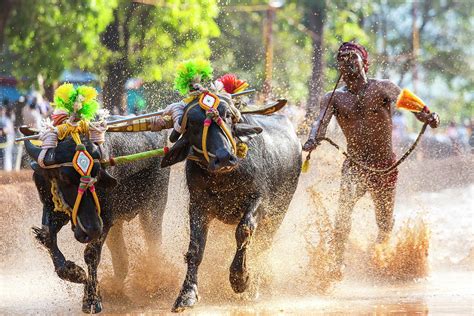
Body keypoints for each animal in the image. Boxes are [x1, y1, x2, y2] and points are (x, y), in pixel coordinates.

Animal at [24, 131, 170, 314]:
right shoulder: (51, 207)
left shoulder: (104, 219)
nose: (91, 229)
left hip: (153, 207)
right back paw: (116, 289)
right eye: (64, 177)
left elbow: (91, 254)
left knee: (153, 242)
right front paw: (77, 273)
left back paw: (156, 281)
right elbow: (48, 238)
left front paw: (92, 299)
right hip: (117, 224)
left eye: (97, 174)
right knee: (121, 256)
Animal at [159, 98, 300, 312]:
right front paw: (187, 294)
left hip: (278, 212)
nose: (224, 157)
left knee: (263, 244)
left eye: (226, 116)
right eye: (192, 124)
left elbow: (244, 231)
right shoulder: (198, 206)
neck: (224, 178)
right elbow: (195, 249)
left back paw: (255, 287)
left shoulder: (260, 199)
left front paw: (240, 279)